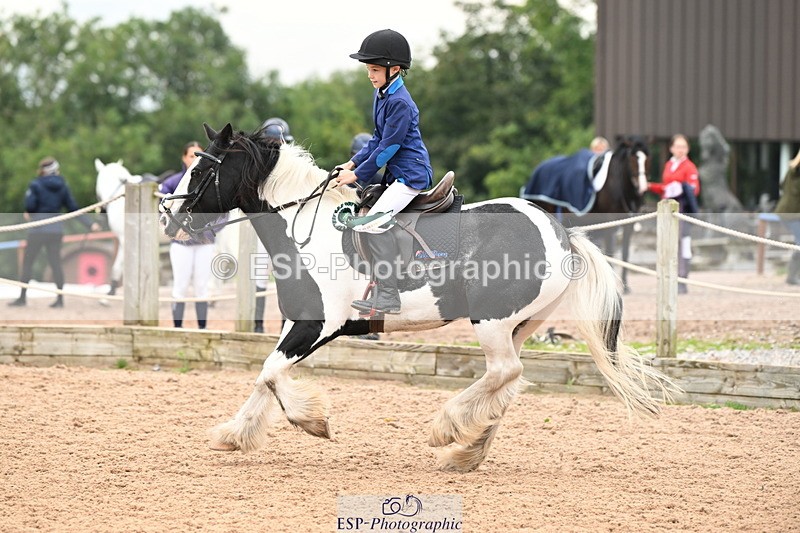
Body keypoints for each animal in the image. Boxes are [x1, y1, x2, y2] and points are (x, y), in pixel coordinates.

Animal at [521, 137, 650, 292]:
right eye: (632, 157)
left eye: (647, 158)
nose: (642, 186)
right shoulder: (610, 225)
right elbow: (610, 251)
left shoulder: (628, 225)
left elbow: (625, 254)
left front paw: (625, 287)